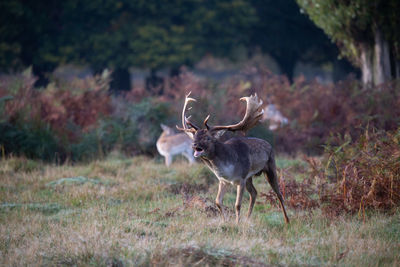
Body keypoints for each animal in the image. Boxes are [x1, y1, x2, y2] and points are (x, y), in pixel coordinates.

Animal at [177, 93, 288, 225]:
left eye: (208, 138)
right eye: (195, 136)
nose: (194, 145)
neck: (228, 167)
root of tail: (269, 144)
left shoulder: (241, 178)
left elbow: (237, 204)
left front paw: (237, 223)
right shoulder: (223, 180)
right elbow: (218, 201)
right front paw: (225, 221)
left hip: (270, 167)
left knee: (279, 194)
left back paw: (287, 220)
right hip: (250, 177)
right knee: (254, 193)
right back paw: (248, 218)